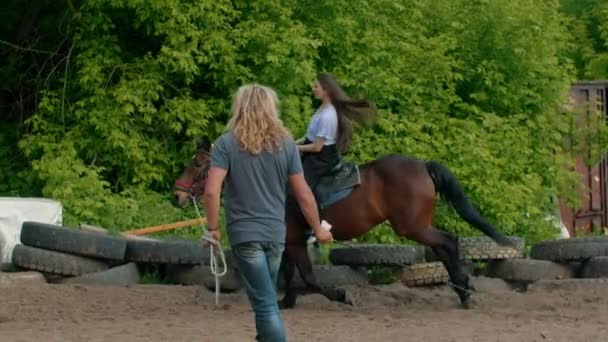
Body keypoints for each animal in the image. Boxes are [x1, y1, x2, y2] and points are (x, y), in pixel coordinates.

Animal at [173, 139, 516, 310]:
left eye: (199, 163)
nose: (177, 195)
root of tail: (421, 165)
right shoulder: (290, 242)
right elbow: (290, 275)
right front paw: (286, 302)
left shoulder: (294, 241)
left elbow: (308, 277)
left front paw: (340, 295)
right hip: (417, 225)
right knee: (444, 247)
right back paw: (462, 290)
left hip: (411, 226)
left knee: (448, 242)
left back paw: (465, 291)